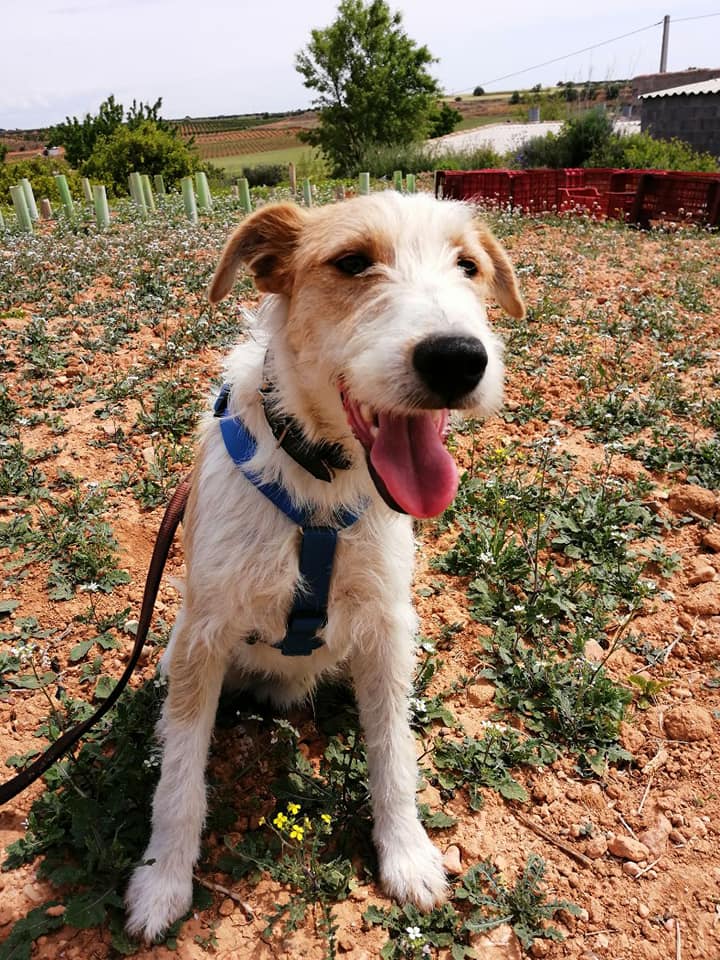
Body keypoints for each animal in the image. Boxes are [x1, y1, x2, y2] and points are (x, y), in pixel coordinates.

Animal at [124, 191, 524, 940]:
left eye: (469, 266)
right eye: (352, 262)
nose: (459, 359)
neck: (319, 479)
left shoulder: (388, 628)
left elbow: (393, 751)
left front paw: (406, 853)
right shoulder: (202, 637)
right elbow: (180, 775)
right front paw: (162, 882)